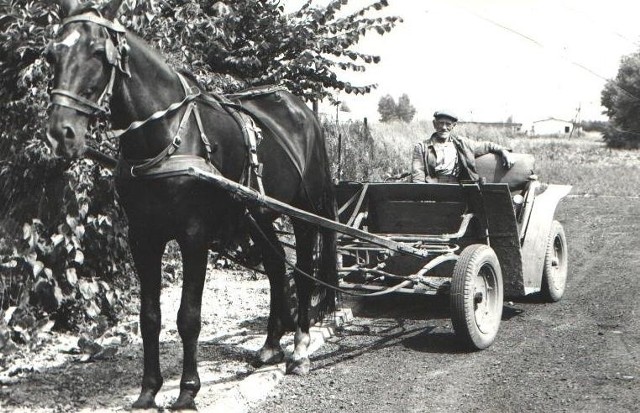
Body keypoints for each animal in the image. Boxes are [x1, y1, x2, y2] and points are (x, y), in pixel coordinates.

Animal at [44, 0, 338, 408]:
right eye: (51, 55)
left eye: (98, 54)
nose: (61, 134)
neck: (167, 136)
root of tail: (303, 111)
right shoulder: (143, 238)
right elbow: (149, 316)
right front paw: (148, 390)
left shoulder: (194, 237)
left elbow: (188, 316)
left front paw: (187, 391)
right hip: (257, 215)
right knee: (277, 265)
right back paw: (269, 345)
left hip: (303, 213)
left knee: (304, 271)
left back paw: (299, 350)